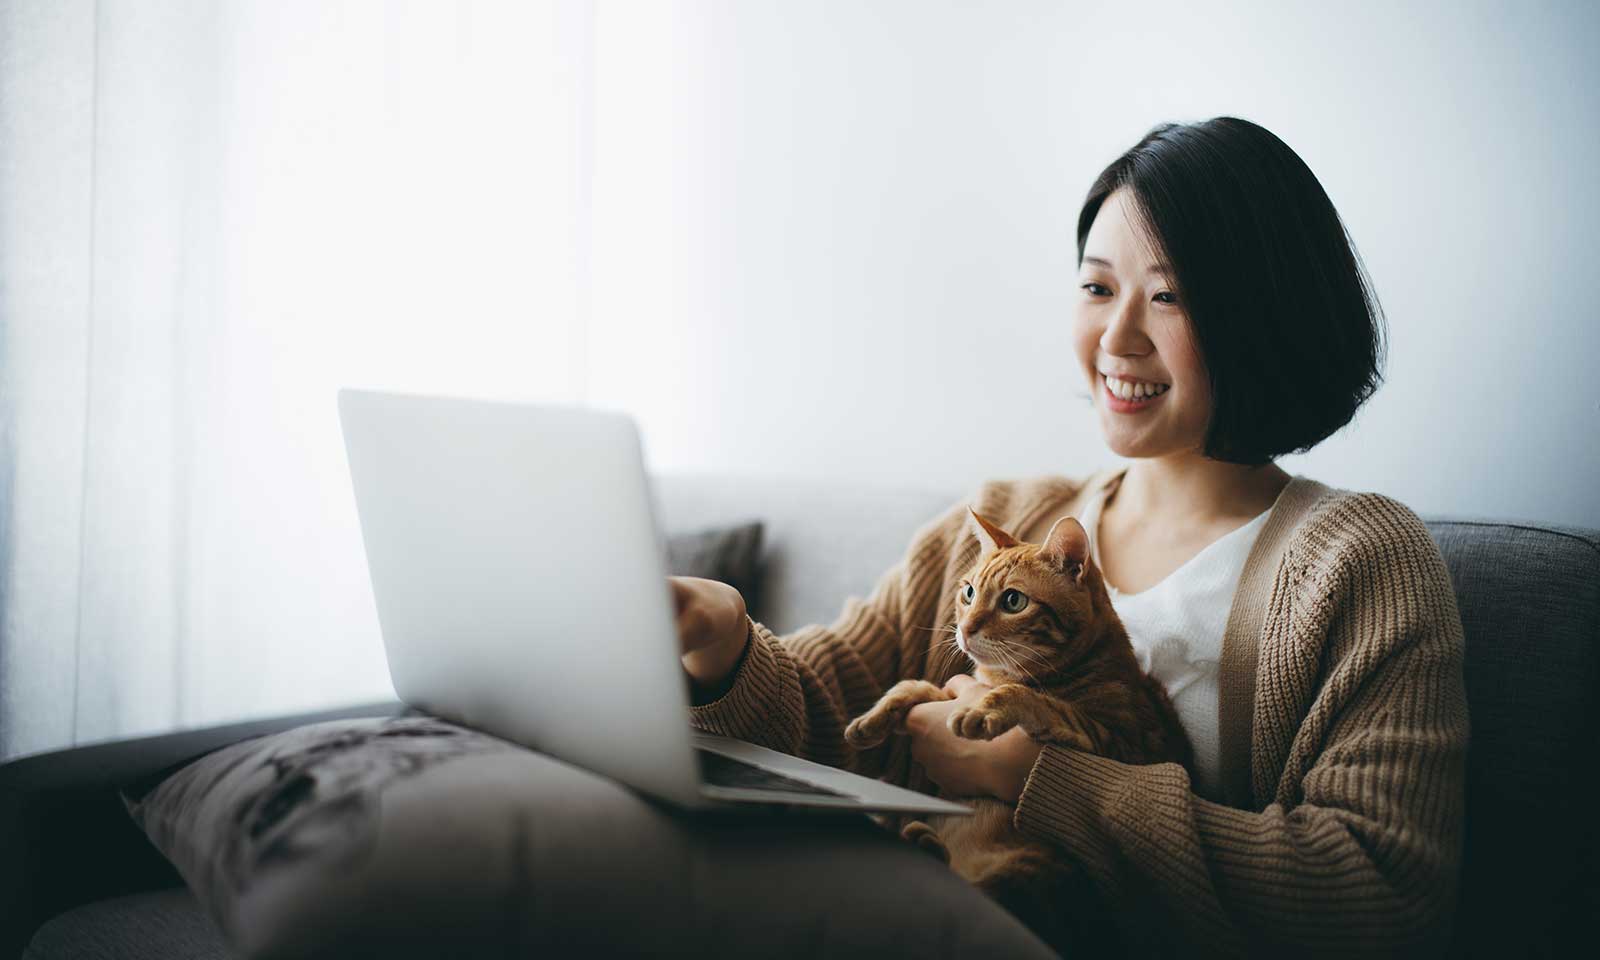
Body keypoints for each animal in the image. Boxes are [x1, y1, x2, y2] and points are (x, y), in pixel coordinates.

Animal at [851, 508, 1190, 947]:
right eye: (968, 593)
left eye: (1013, 601)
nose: (965, 628)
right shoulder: (952, 687)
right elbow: (918, 686)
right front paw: (871, 718)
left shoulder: (1126, 743)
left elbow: (1034, 700)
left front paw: (985, 709)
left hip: (1035, 869)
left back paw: (926, 845)